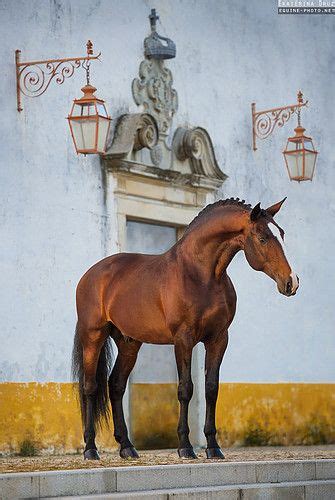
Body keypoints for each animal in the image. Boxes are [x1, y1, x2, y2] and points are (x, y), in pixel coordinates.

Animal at [73, 197, 300, 458]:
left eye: (282, 234)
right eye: (263, 238)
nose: (291, 282)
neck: (201, 275)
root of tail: (90, 275)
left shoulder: (218, 339)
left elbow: (211, 388)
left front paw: (213, 447)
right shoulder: (183, 338)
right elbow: (185, 389)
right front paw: (185, 446)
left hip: (129, 343)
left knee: (116, 386)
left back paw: (127, 447)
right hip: (93, 337)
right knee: (90, 387)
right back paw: (91, 449)